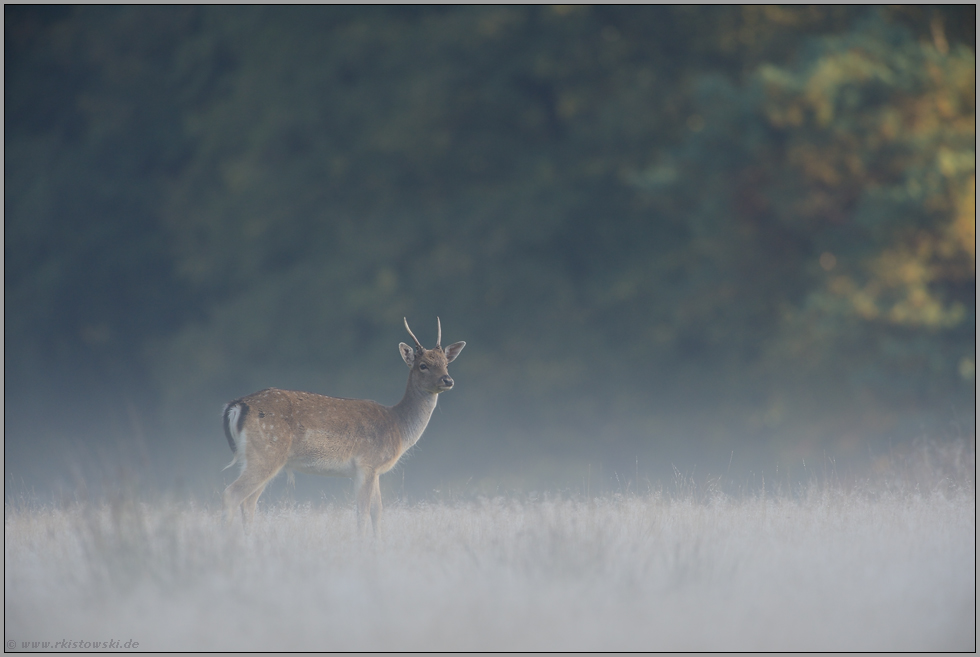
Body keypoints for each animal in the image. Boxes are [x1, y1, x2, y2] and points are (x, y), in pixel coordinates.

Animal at [222, 318, 468, 532]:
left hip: (257, 456)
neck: (398, 426)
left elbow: (377, 511)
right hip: (268, 451)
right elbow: (362, 511)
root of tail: (236, 405)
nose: (448, 380)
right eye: (423, 365)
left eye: (446, 363)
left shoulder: (375, 470)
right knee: (233, 493)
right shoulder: (367, 463)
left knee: (248, 501)